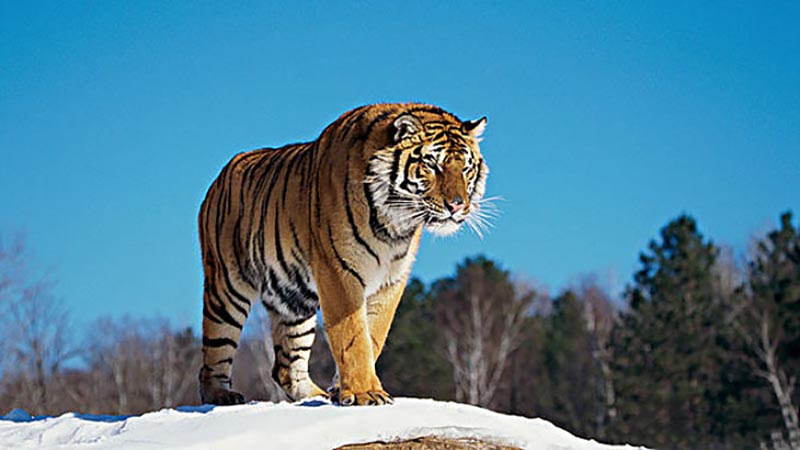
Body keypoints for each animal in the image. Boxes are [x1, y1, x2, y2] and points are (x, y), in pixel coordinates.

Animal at [198, 103, 489, 406]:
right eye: (432, 164)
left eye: (466, 168)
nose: (457, 206)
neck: (394, 225)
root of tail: (220, 178)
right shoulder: (339, 271)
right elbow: (352, 336)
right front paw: (365, 392)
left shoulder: (391, 279)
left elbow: (373, 335)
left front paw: (345, 390)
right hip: (227, 289)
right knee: (213, 354)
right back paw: (221, 395)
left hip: (295, 300)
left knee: (285, 367)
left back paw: (316, 395)